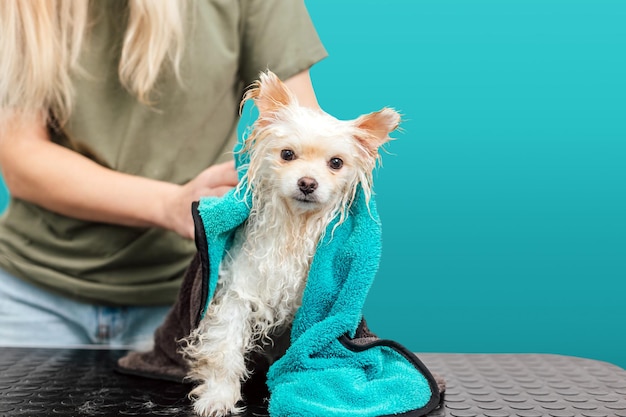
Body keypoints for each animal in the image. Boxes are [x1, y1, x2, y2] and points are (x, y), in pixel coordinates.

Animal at [180, 71, 400, 416]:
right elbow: (225, 349)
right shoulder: (237, 294)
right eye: (287, 154)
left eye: (336, 163)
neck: (293, 228)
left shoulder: (314, 309)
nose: (307, 183)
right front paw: (218, 396)